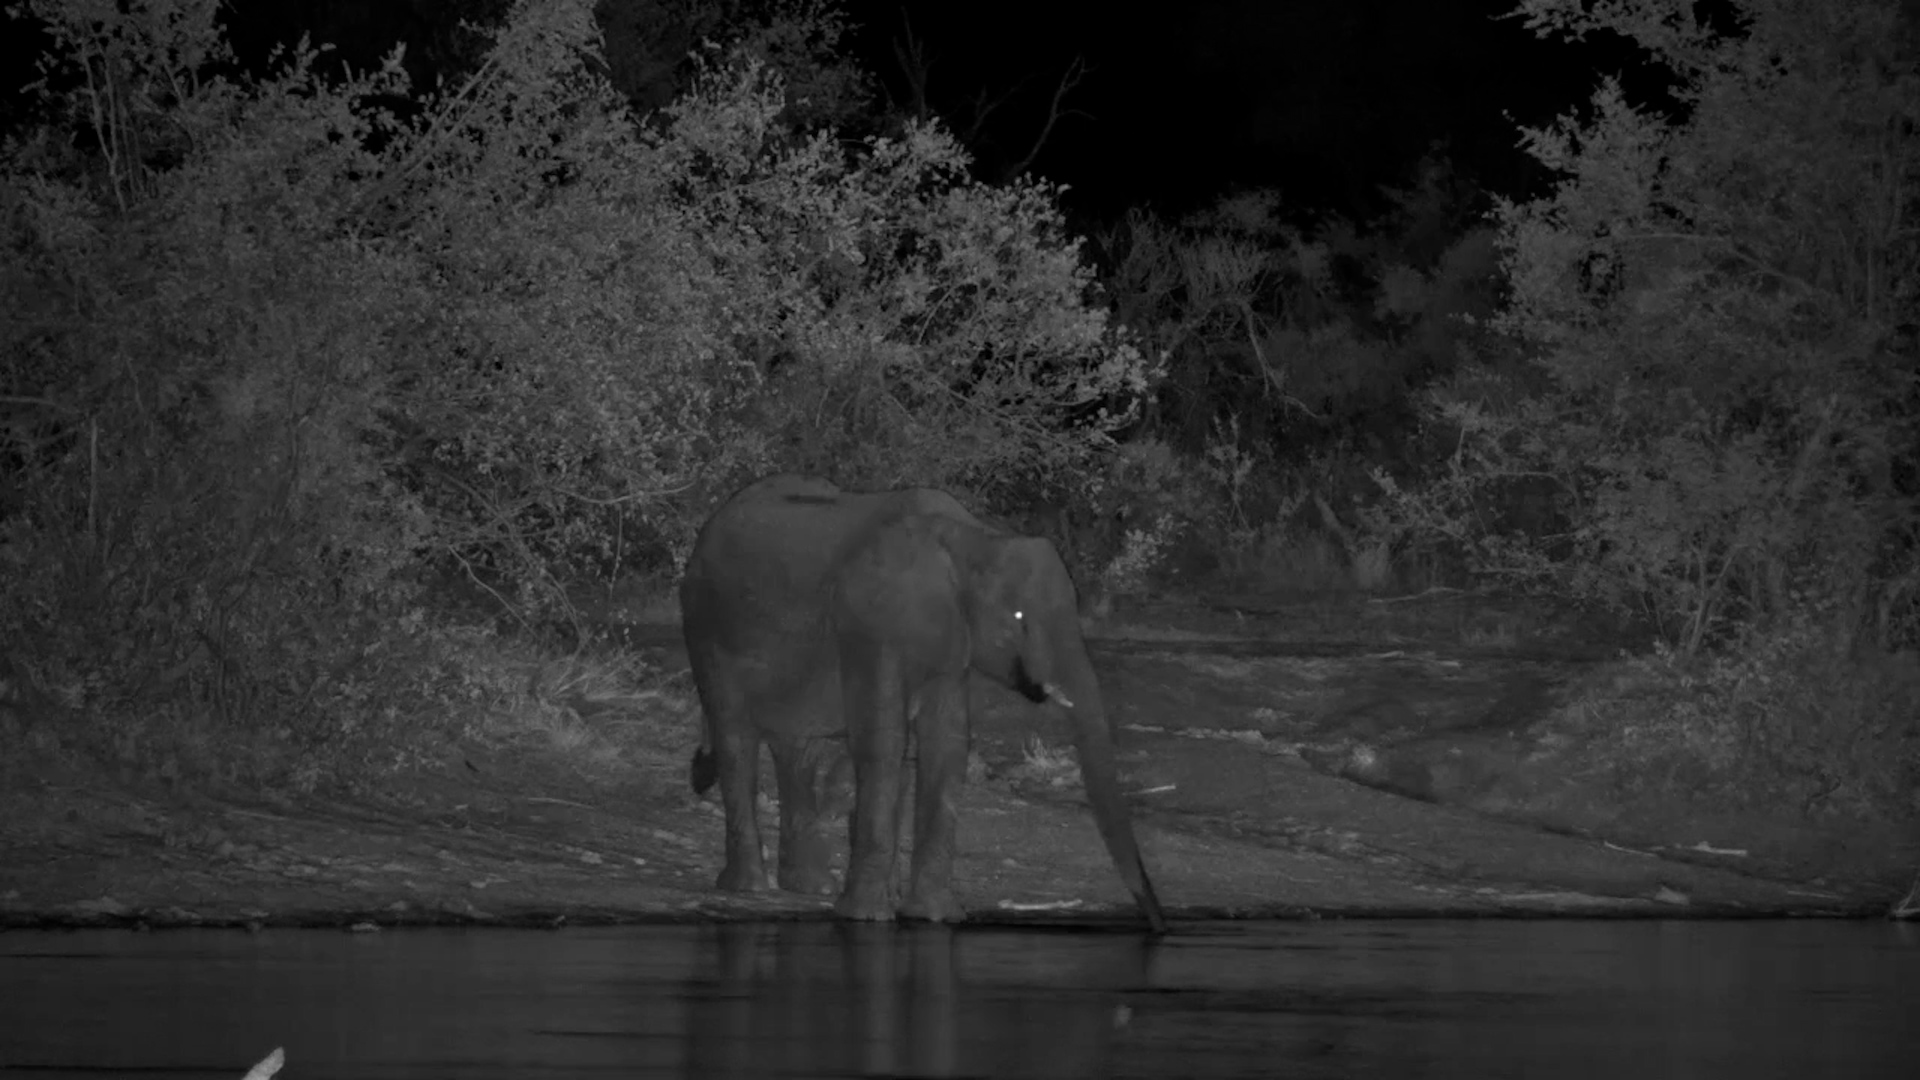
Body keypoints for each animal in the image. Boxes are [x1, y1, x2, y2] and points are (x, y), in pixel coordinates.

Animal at [681, 472, 1166, 931]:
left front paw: (935, 917)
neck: (974, 539)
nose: (1159, 926)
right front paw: (867, 917)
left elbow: (947, 742)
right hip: (707, 628)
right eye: (1018, 617)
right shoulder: (870, 625)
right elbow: (883, 741)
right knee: (736, 737)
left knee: (798, 749)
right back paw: (749, 887)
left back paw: (809, 886)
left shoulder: (951, 644)